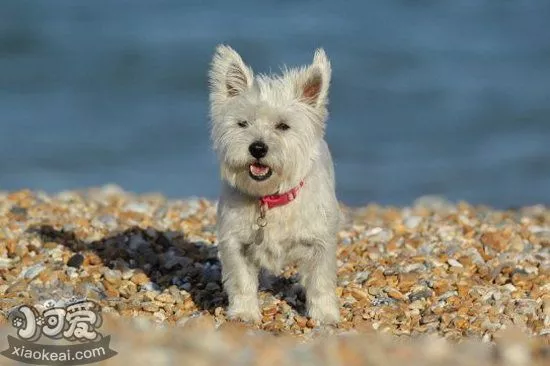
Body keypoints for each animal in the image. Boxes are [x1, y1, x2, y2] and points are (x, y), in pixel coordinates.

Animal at [210, 45, 340, 324]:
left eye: (283, 126)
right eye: (242, 123)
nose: (257, 148)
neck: (270, 199)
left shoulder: (320, 242)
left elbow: (320, 282)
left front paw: (325, 316)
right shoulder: (235, 243)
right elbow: (242, 282)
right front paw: (244, 313)